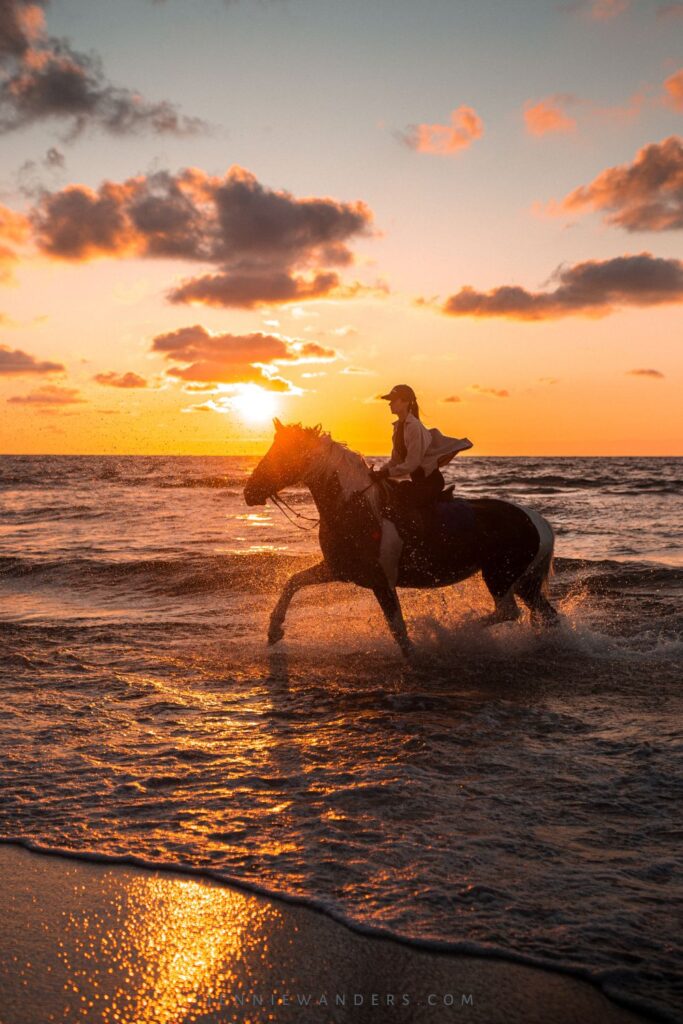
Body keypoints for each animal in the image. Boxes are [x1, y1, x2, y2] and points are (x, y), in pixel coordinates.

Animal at [242, 419, 557, 659]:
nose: (249, 492)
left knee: (507, 612)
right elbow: (293, 582)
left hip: (500, 577)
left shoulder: (382, 582)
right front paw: (274, 631)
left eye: (283, 454)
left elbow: (399, 630)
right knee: (545, 614)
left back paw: (453, 632)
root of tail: (538, 521)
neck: (356, 508)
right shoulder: (339, 569)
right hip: (523, 582)